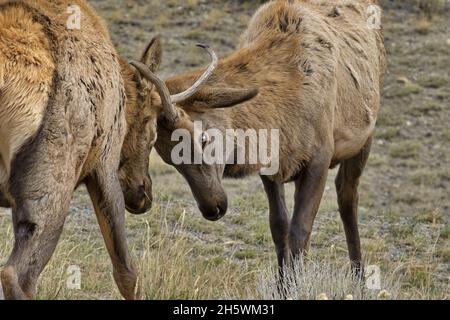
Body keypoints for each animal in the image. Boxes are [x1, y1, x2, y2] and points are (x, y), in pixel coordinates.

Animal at [0, 0, 218, 300]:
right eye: (151, 127)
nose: (144, 194)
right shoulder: (104, 165)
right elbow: (127, 272)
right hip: (53, 187)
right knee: (17, 275)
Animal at [133, 0, 386, 276]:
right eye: (169, 159)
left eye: (203, 139)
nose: (213, 208)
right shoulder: (271, 166)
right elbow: (279, 227)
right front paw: (282, 281)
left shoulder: (319, 158)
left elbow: (300, 232)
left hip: (364, 139)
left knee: (347, 196)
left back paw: (359, 276)